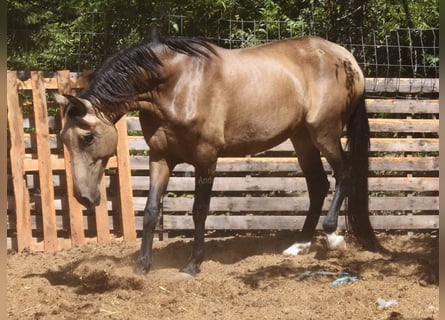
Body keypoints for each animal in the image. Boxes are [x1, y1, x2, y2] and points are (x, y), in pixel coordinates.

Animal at [54, 33, 382, 276]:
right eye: (64, 140)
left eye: (87, 137)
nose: (84, 197)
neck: (177, 84)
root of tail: (348, 59)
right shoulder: (160, 158)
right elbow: (150, 211)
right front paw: (142, 266)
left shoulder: (206, 159)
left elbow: (199, 210)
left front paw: (191, 264)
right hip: (301, 138)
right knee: (318, 186)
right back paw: (299, 245)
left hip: (324, 132)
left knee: (344, 174)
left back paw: (332, 235)